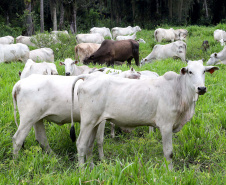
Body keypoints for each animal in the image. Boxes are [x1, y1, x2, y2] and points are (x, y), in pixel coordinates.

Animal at [71, 59, 219, 169]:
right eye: (189, 71)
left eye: (204, 71)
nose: (201, 88)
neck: (178, 91)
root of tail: (88, 77)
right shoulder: (166, 126)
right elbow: (169, 153)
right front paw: (170, 172)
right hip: (87, 122)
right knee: (81, 144)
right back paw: (83, 172)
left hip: (95, 122)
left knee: (89, 145)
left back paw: (91, 168)